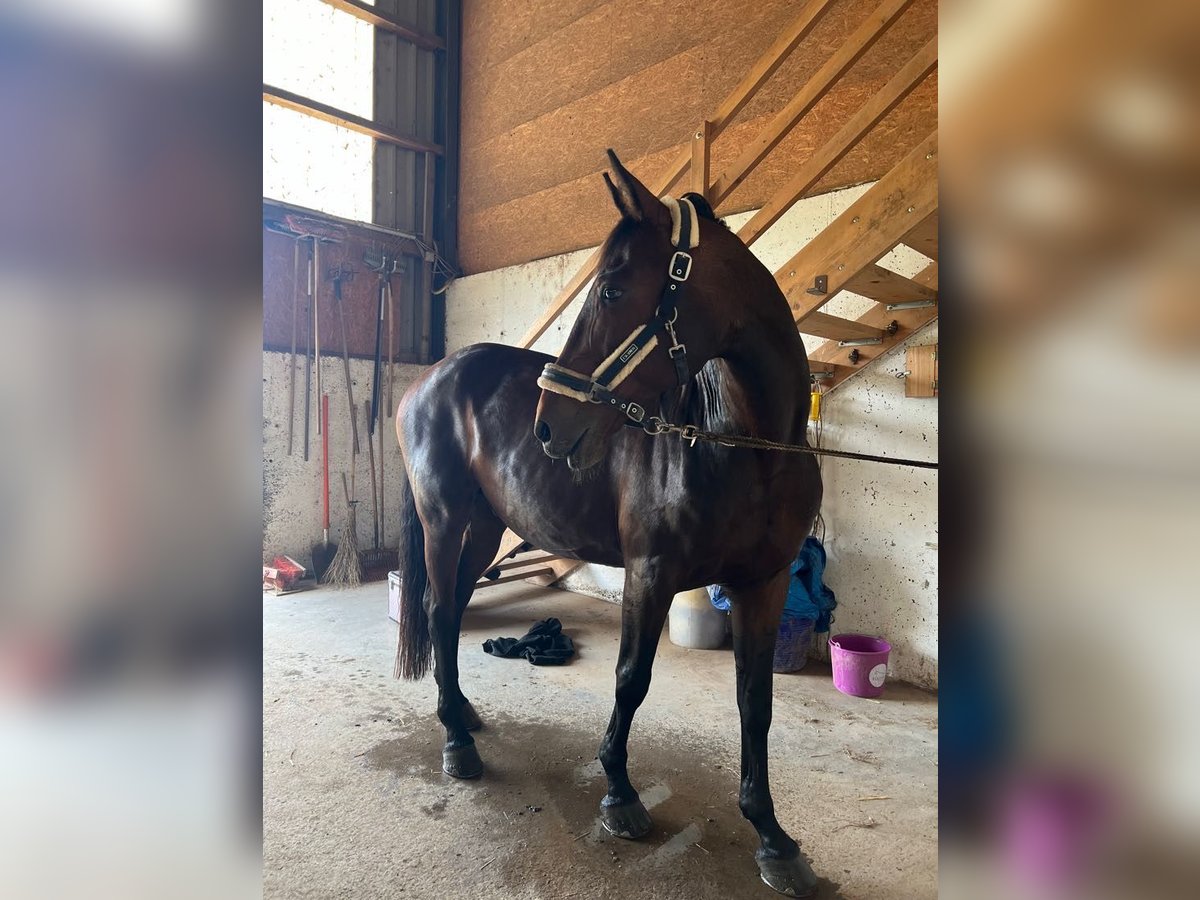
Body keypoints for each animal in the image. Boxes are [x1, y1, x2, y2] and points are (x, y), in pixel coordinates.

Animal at [393, 151, 825, 897]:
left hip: (483, 530)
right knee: (439, 608)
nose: (548, 426)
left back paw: (465, 713)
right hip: (444, 522)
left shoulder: (763, 584)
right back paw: (456, 740)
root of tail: (426, 380)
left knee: (447, 615)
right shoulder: (650, 573)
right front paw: (619, 795)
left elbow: (756, 700)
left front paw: (772, 836)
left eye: (615, 290)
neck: (743, 446)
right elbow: (631, 678)